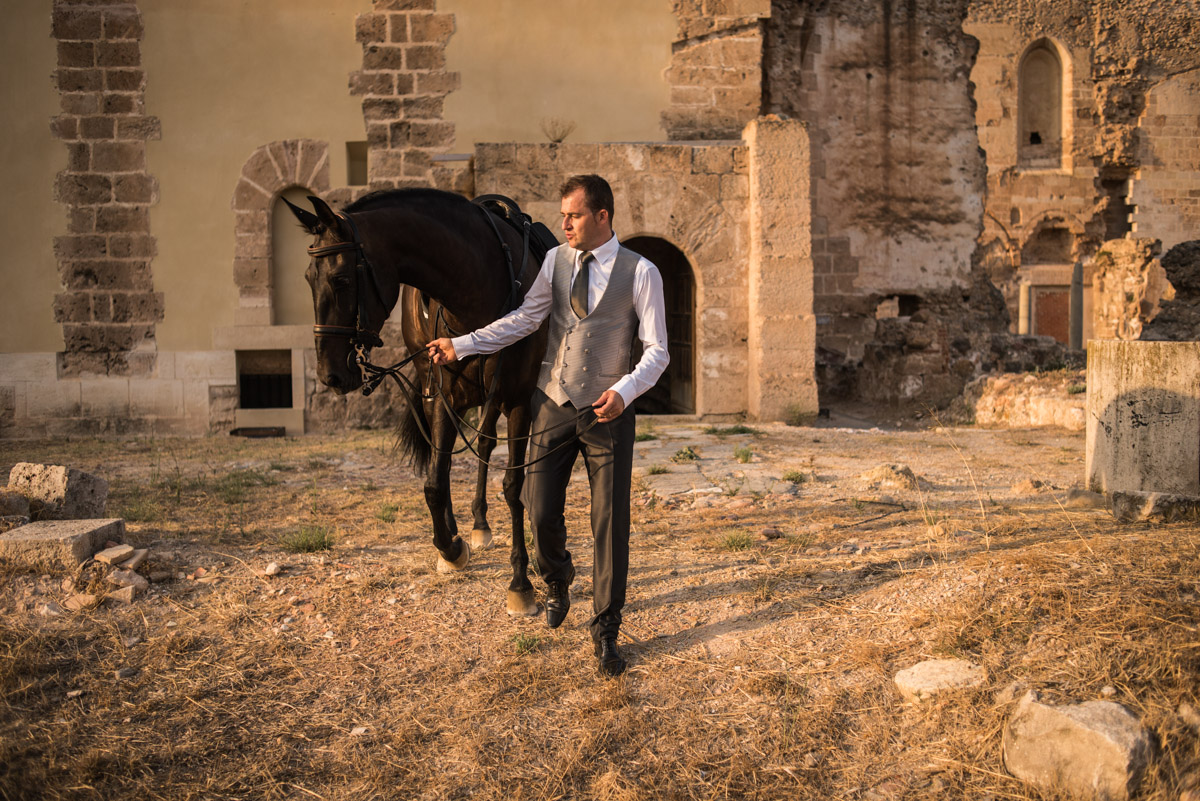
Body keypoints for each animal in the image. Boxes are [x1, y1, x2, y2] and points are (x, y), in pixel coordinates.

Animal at [285, 188, 548, 616]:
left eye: (341, 279)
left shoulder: (519, 398)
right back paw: (462, 531)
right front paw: (450, 548)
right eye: (308, 279)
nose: (329, 375)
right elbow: (434, 483)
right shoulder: (442, 394)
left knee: (486, 446)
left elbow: (513, 485)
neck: (477, 286)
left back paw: (480, 524)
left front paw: (520, 582)